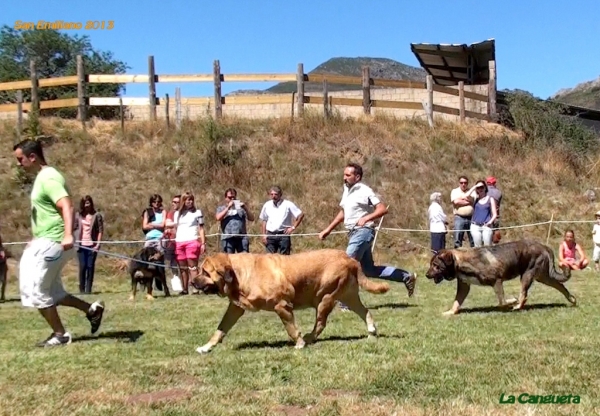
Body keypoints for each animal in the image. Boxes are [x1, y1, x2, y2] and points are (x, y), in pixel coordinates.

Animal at [191, 249, 390, 352]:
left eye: (205, 272)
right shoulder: (235, 308)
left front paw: (299, 343)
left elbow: (291, 328)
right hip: (348, 296)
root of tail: (350, 259)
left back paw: (309, 338)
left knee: (321, 323)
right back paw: (371, 331)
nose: (192, 282)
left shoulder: (282, 306)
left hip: (324, 298)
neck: (239, 274)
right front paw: (206, 347)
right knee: (365, 311)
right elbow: (220, 329)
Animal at [424, 240, 576, 316]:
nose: (426, 275)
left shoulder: (497, 281)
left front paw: (511, 302)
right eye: (431, 265)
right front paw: (450, 312)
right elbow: (456, 302)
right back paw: (571, 299)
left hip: (527, 275)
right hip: (543, 277)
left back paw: (517, 306)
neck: (460, 262)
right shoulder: (464, 286)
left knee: (524, 295)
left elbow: (502, 302)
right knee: (560, 285)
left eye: (436, 266)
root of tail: (544, 246)